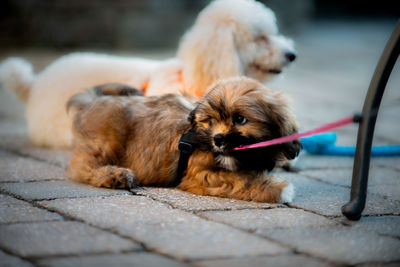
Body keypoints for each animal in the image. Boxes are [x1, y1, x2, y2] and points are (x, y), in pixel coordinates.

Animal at [68, 77, 300, 203]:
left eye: (240, 119)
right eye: (211, 121)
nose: (217, 139)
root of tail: (92, 101)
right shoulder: (200, 174)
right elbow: (240, 180)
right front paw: (277, 189)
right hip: (107, 141)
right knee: (82, 167)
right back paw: (115, 175)